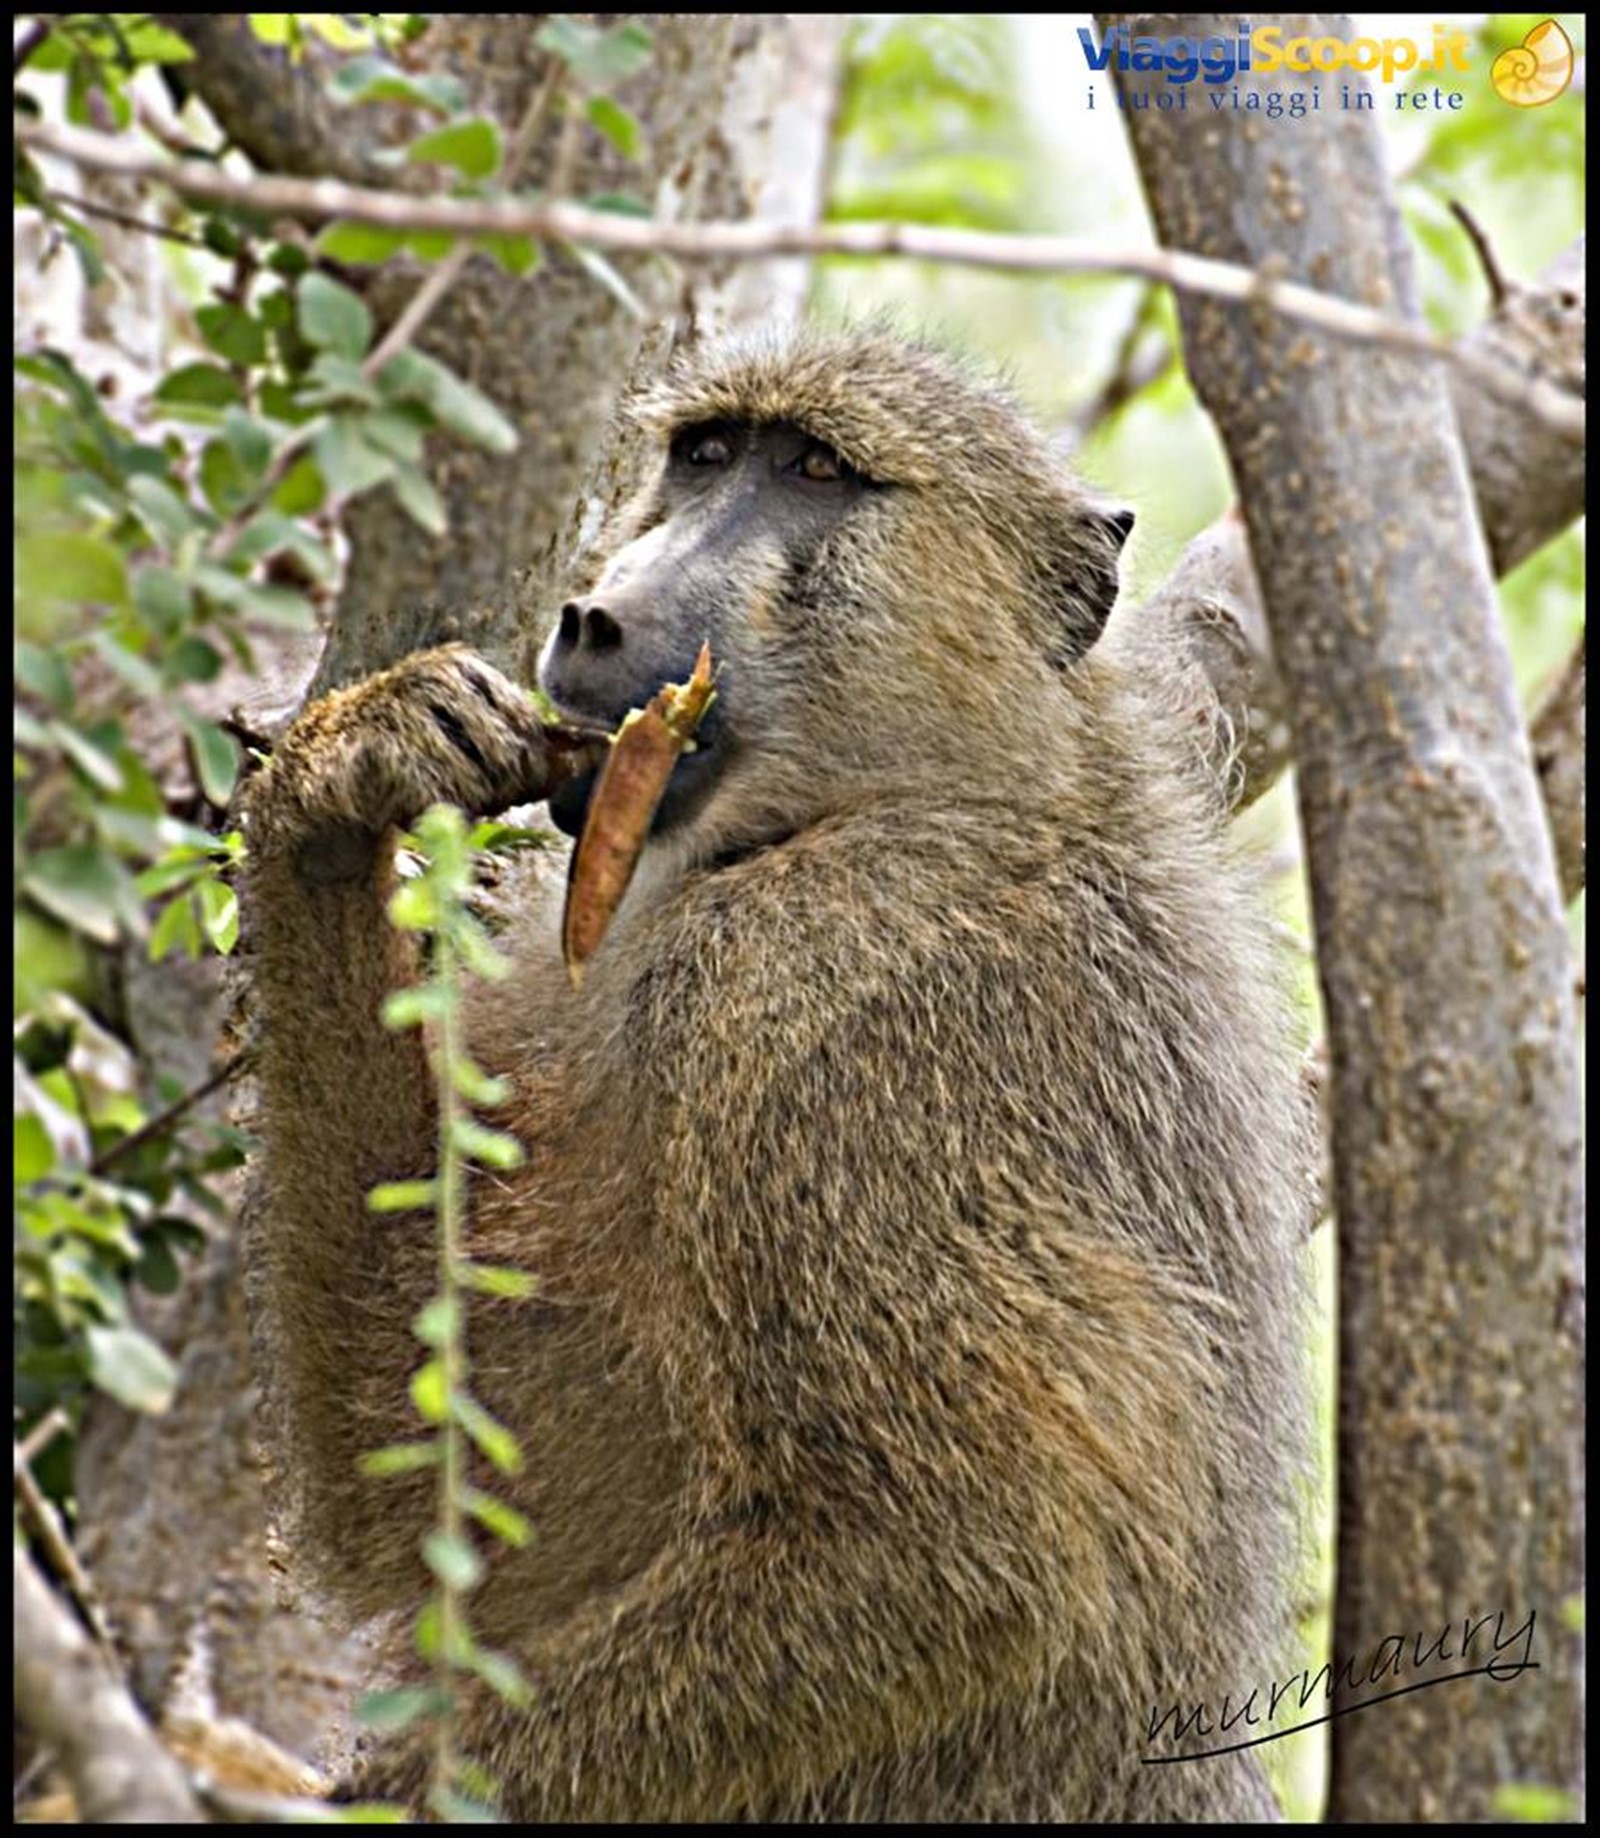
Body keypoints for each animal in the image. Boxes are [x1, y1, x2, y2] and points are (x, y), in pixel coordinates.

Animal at [242, 328, 1310, 1820]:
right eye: (703, 456)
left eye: (815, 472)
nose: (596, 618)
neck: (933, 786)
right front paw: (346, 778)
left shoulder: (801, 991)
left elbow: (974, 1551)